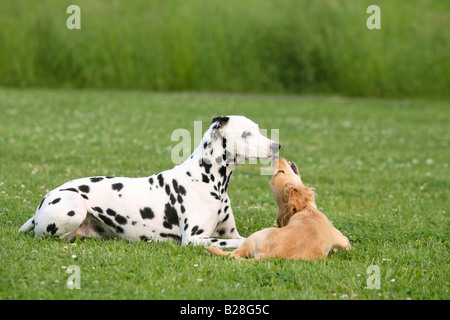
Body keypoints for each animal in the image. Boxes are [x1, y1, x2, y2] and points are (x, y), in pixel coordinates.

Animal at [206, 158, 350, 260]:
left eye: (280, 171)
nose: (276, 157)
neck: (305, 209)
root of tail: (269, 256)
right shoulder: (342, 238)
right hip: (259, 234)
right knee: (233, 254)